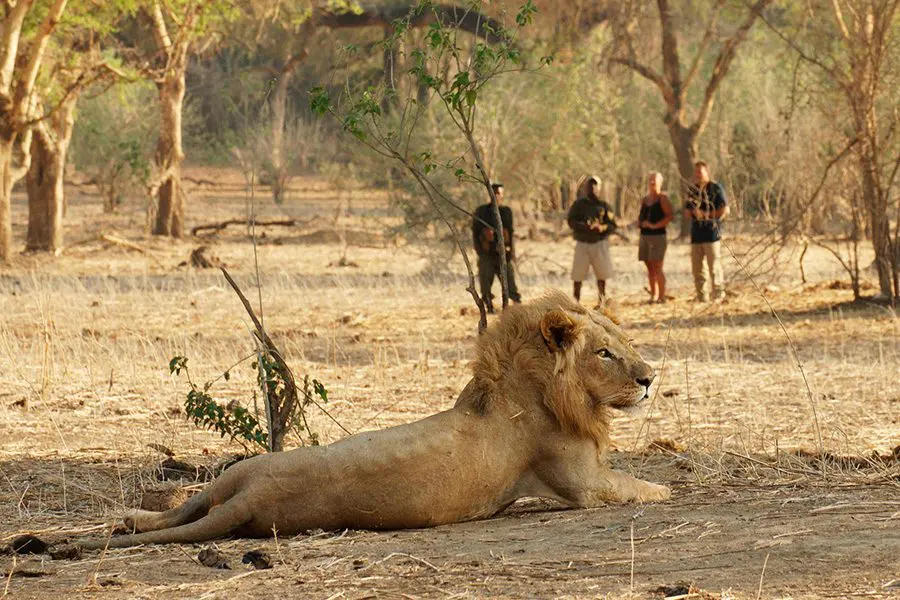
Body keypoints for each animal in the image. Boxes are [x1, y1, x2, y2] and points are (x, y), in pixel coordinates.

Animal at [78, 291, 669, 549]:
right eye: (605, 354)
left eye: (625, 343)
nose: (650, 378)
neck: (540, 385)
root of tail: (254, 497)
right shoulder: (584, 482)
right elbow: (645, 487)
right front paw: (667, 489)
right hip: (243, 481)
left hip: (233, 475)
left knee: (184, 508)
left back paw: (130, 520)